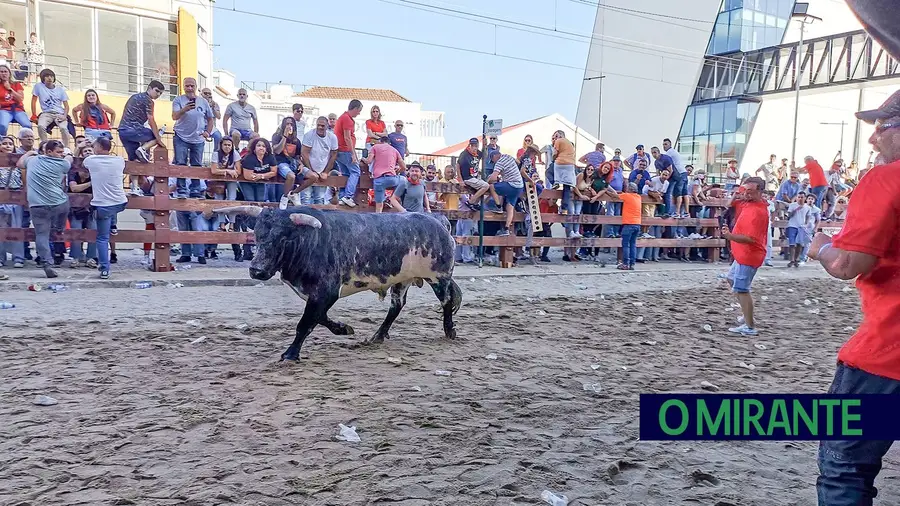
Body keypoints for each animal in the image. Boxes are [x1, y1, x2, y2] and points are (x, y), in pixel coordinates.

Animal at [214, 204, 460, 362]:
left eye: (283, 238)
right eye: (257, 234)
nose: (256, 270)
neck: (309, 241)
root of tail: (438, 220)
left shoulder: (326, 291)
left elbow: (305, 323)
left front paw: (290, 354)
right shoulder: (318, 296)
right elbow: (320, 317)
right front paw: (343, 329)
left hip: (439, 277)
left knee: (447, 301)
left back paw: (449, 332)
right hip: (402, 280)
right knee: (396, 307)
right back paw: (378, 336)